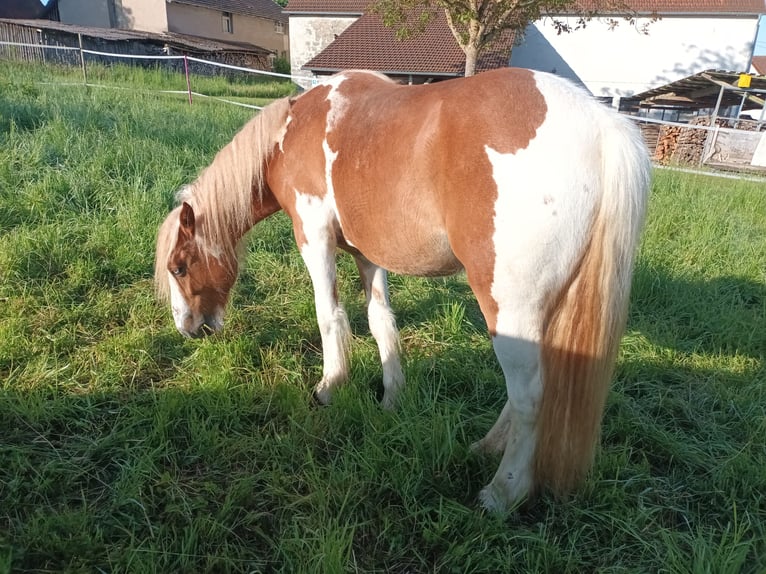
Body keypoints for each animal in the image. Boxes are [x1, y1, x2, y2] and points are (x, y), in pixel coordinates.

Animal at [155, 67, 650, 512]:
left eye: (179, 267)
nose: (187, 328)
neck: (289, 134)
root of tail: (601, 127)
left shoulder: (313, 236)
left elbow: (329, 315)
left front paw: (330, 387)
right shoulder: (366, 252)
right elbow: (380, 322)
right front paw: (392, 397)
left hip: (510, 307)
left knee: (529, 394)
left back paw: (503, 492)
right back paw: (487, 448)